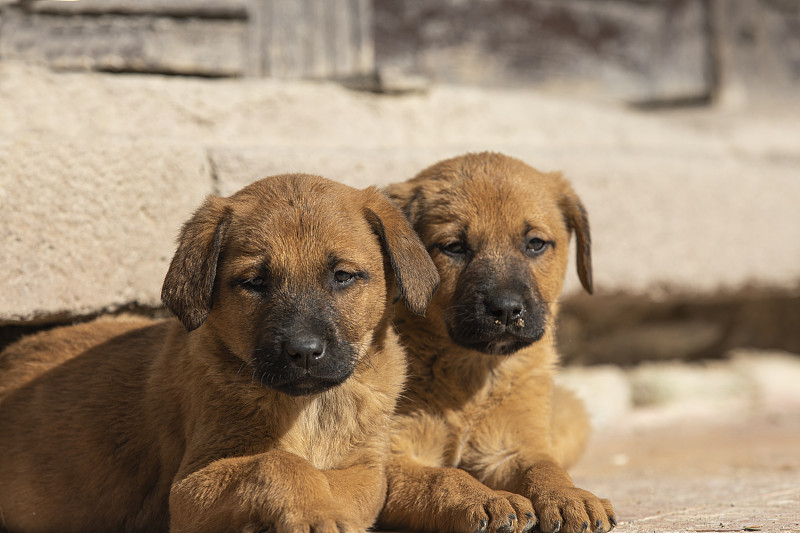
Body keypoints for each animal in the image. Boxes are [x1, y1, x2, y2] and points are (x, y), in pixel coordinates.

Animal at [0, 174, 438, 532]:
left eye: (343, 276)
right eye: (254, 282)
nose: (304, 352)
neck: (308, 409)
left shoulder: (367, 472)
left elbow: (333, 482)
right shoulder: (188, 490)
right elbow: (278, 464)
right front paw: (315, 512)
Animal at [378, 152, 616, 532]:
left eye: (535, 243)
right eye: (454, 247)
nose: (506, 309)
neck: (472, 373)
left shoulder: (511, 447)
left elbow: (545, 468)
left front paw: (570, 496)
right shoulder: (390, 459)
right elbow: (445, 478)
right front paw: (486, 500)